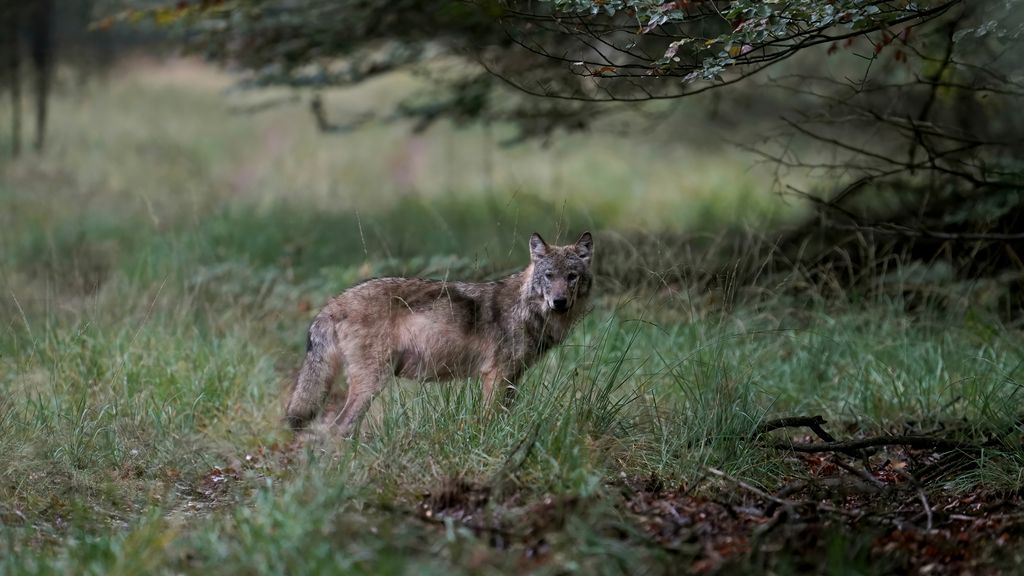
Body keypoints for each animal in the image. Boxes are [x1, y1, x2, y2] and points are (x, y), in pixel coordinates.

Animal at [286, 231, 594, 437]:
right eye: (549, 276)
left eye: (571, 276)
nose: (559, 302)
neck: (526, 310)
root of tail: (334, 302)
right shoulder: (495, 375)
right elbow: (490, 420)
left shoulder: (512, 377)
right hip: (372, 382)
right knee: (339, 428)